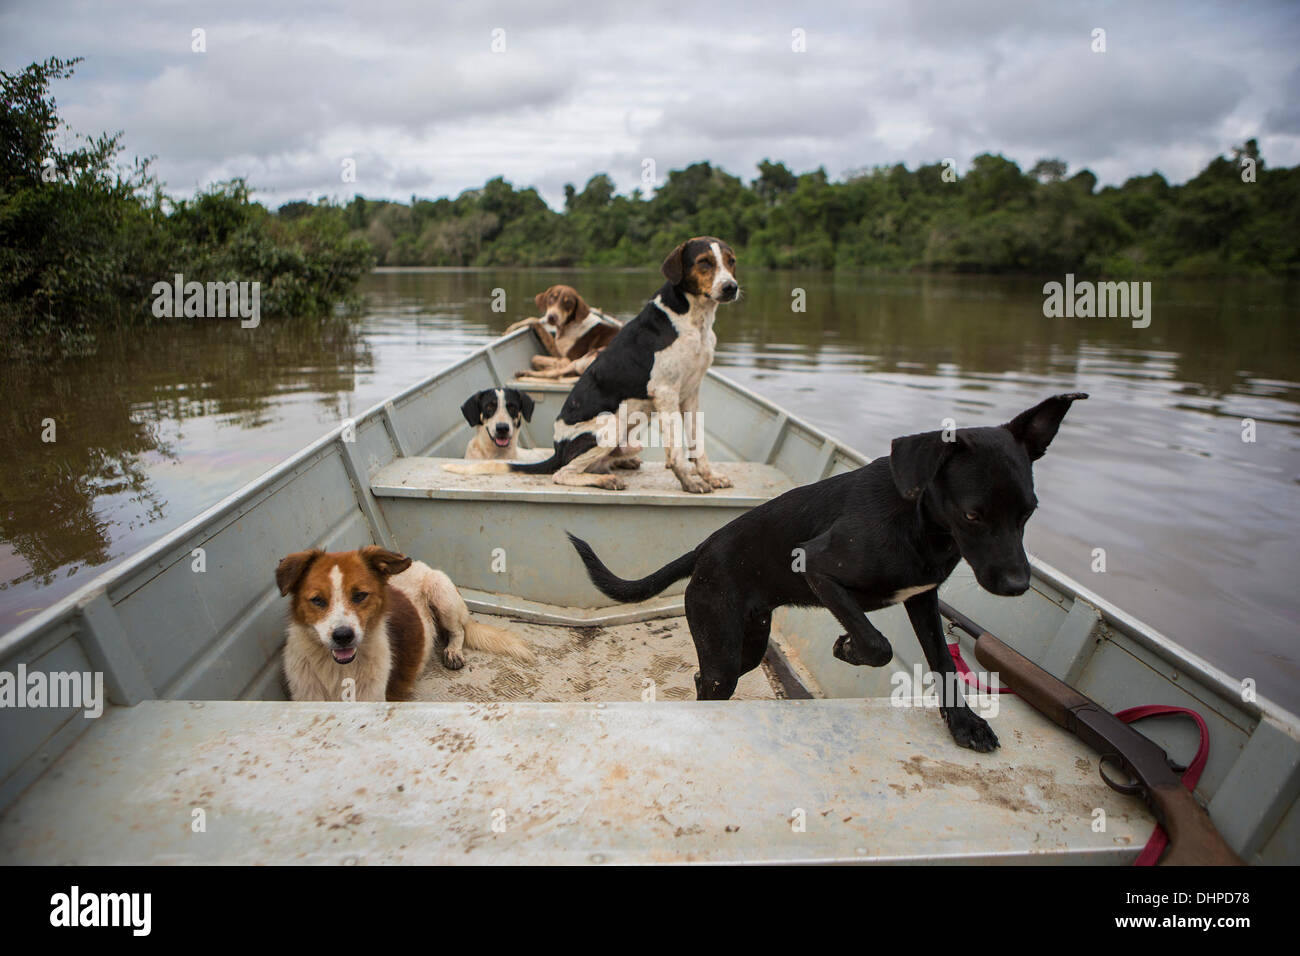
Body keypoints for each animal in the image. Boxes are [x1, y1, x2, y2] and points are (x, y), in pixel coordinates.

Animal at [276, 546, 535, 702]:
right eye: (317, 600)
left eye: (360, 595)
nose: (342, 636)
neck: (337, 671)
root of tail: (419, 563)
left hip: (441, 592)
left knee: (458, 630)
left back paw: (452, 651)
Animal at [574, 392, 1092, 749]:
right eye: (972, 514)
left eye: (1028, 512)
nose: (1018, 585)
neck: (919, 521)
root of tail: (704, 548)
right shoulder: (820, 568)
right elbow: (879, 645)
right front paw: (847, 648)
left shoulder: (923, 599)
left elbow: (944, 664)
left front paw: (965, 723)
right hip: (721, 643)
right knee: (710, 679)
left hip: (748, 644)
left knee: (710, 676)